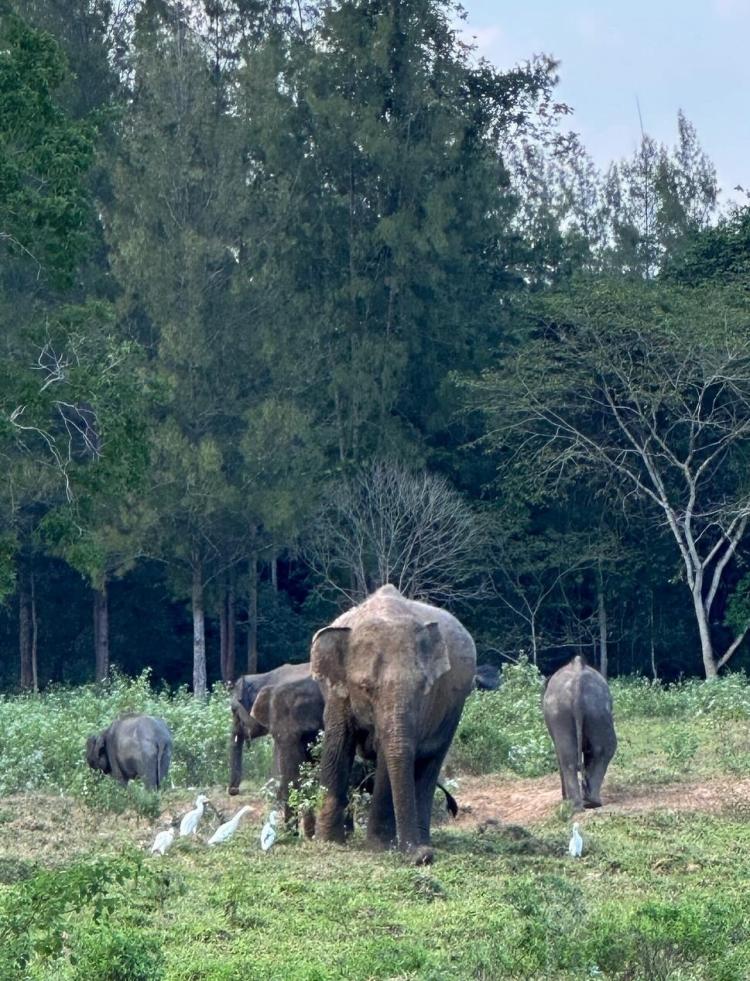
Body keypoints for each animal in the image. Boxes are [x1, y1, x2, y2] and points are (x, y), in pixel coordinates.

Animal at [311, 584, 476, 864]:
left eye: (422, 688)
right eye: (366, 687)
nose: (423, 857)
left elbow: (388, 755)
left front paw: (379, 846)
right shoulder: (337, 693)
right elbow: (338, 742)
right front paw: (328, 841)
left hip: (454, 710)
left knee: (431, 763)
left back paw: (422, 839)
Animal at [543, 656, 617, 811]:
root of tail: (577, 685)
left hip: (561, 713)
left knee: (568, 757)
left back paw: (576, 805)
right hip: (595, 709)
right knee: (600, 751)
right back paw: (590, 802)